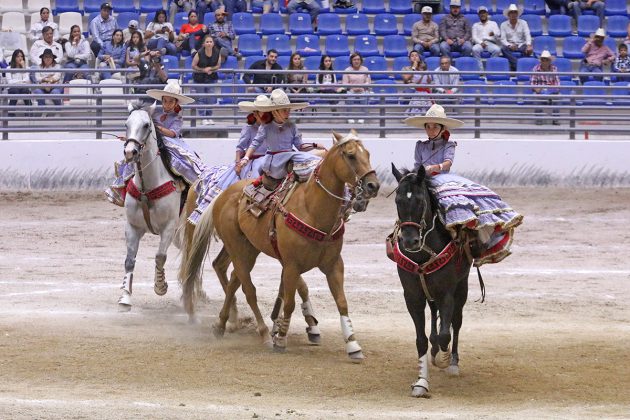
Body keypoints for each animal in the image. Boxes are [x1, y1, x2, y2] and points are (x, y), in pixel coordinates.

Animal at [118, 103, 183, 310]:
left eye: (146, 125)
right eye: (126, 124)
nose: (130, 152)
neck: (147, 189)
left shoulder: (168, 228)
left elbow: (160, 256)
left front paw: (160, 286)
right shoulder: (132, 227)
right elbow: (129, 261)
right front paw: (125, 297)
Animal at [390, 165, 474, 398]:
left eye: (420, 200)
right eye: (397, 200)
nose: (410, 240)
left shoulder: (447, 293)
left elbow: (446, 333)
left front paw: (445, 359)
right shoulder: (412, 296)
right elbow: (421, 340)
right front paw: (421, 382)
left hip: (461, 289)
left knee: (456, 322)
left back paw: (452, 362)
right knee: (435, 315)